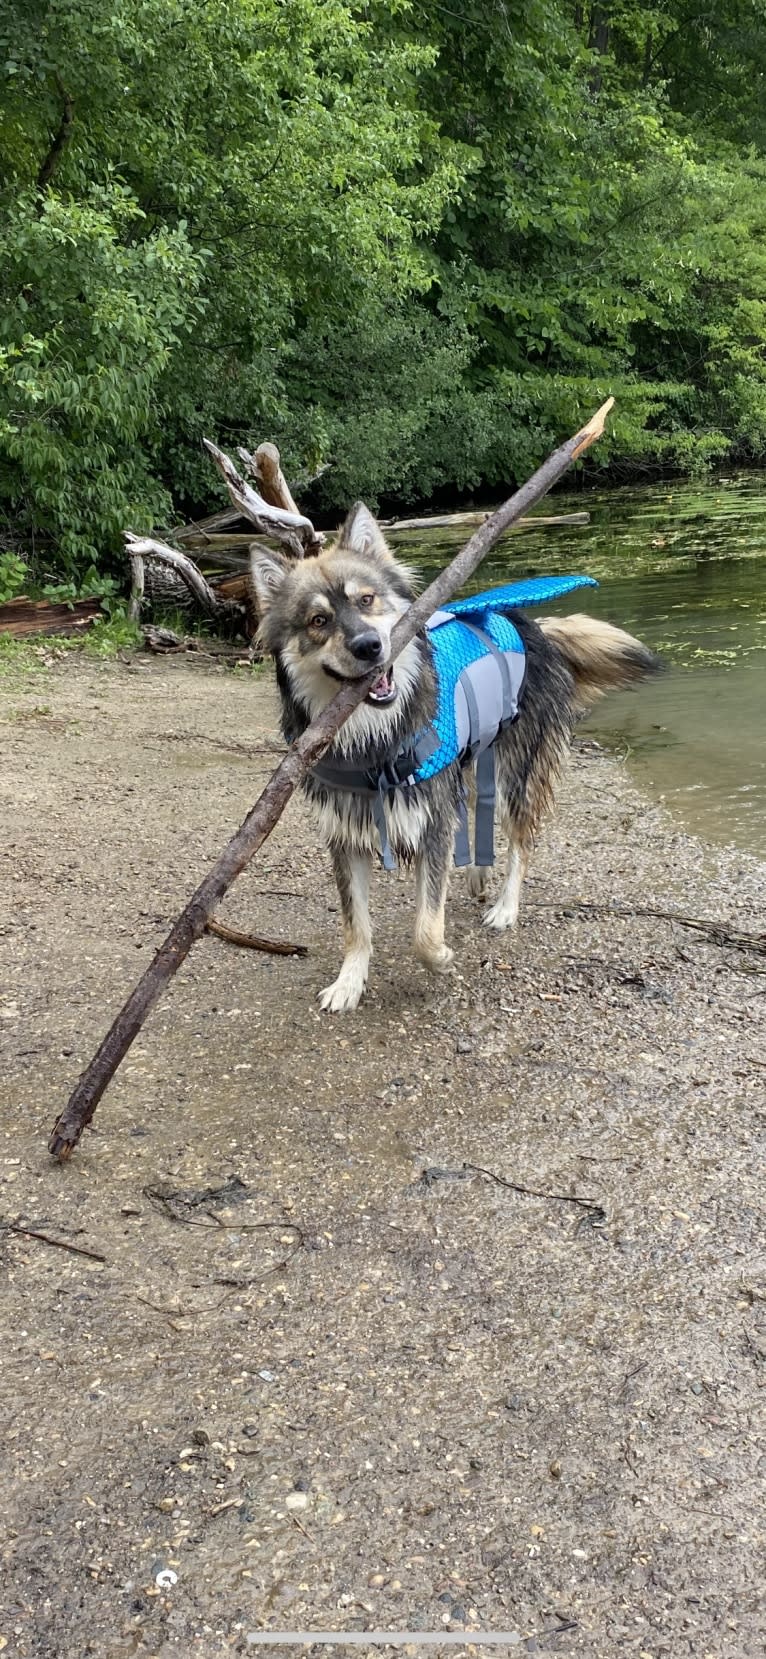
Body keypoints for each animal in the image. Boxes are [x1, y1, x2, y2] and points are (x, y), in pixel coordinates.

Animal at [252, 497, 659, 1008]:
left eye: (367, 600)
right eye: (318, 621)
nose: (369, 646)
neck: (370, 738)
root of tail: (531, 624)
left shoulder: (431, 822)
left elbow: (425, 929)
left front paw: (440, 956)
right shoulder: (347, 834)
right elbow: (355, 925)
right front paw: (349, 982)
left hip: (516, 774)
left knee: (521, 839)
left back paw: (505, 906)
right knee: (477, 813)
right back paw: (477, 875)